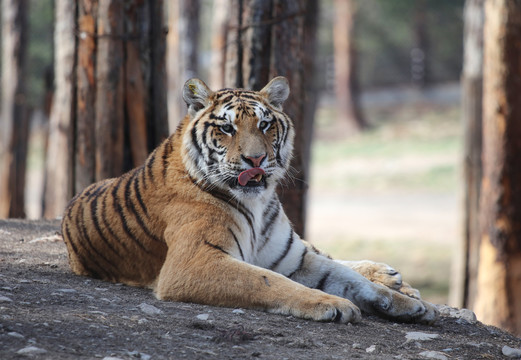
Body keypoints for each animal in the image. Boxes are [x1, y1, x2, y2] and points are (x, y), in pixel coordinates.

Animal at [62, 77, 438, 324]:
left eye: (266, 124)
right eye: (227, 128)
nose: (255, 160)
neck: (257, 203)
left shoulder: (294, 257)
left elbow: (349, 278)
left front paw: (408, 305)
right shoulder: (193, 262)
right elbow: (269, 281)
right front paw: (335, 303)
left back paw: (393, 278)